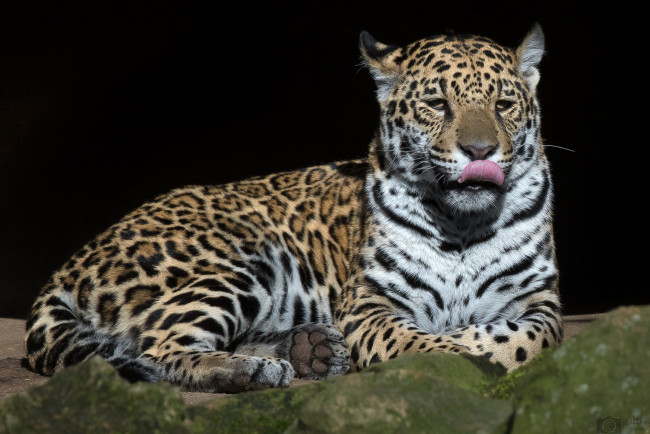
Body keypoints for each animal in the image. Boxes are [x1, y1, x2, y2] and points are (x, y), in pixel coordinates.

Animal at [24, 24, 562, 392]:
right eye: (436, 104)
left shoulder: (540, 301)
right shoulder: (369, 303)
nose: (480, 151)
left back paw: (311, 350)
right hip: (241, 264)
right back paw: (251, 370)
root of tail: (72, 262)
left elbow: (524, 339)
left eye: (503, 105)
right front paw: (456, 354)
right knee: (160, 346)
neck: (461, 224)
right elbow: (428, 343)